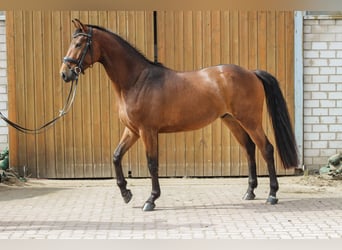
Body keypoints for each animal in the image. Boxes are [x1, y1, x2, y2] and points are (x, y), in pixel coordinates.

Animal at [60, 19, 298, 211]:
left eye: (79, 44)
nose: (65, 73)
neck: (137, 80)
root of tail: (251, 73)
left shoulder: (147, 131)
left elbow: (152, 164)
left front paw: (151, 200)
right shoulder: (132, 130)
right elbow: (116, 156)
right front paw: (126, 193)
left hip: (250, 120)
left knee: (266, 148)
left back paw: (272, 195)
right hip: (232, 120)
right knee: (249, 148)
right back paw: (250, 192)